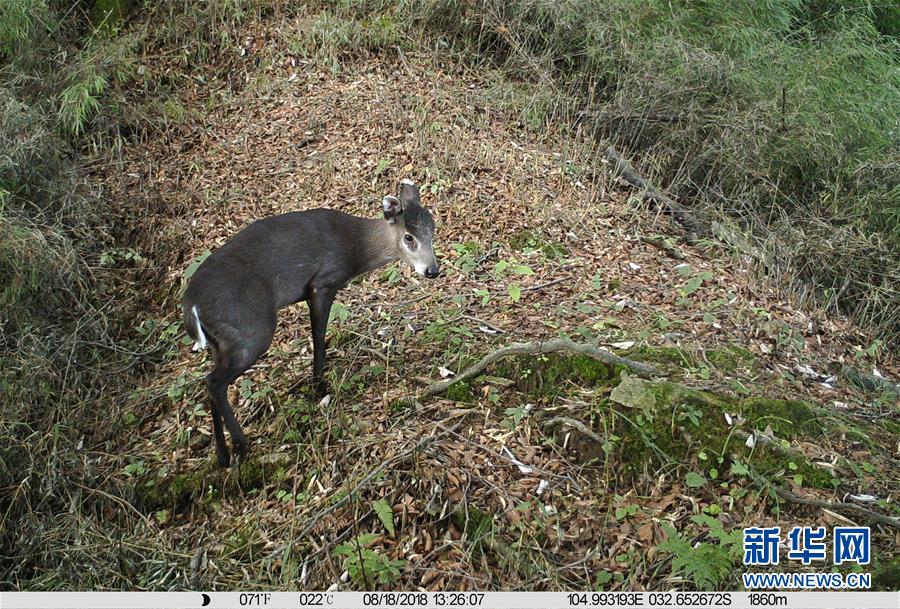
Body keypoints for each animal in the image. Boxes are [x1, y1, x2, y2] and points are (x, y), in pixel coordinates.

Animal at [181, 180, 438, 466]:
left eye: (433, 230)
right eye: (409, 237)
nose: (432, 270)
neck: (355, 248)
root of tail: (191, 305)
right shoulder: (323, 282)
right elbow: (318, 337)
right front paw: (319, 386)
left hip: (223, 341)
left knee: (210, 380)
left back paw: (222, 455)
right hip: (251, 330)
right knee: (215, 382)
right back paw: (241, 445)